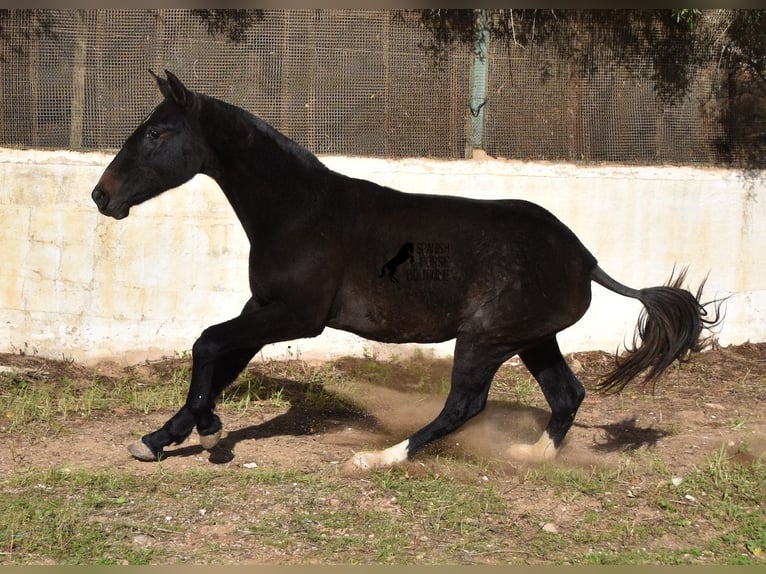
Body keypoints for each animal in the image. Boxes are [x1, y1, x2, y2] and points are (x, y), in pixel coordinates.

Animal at [93, 71, 724, 468]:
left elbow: (205, 345)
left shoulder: (296, 317)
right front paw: (158, 439)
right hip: (531, 339)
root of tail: (584, 258)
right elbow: (220, 362)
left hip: (486, 339)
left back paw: (376, 458)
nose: (102, 196)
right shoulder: (264, 309)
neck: (301, 212)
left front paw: (210, 435)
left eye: (157, 133)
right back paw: (531, 456)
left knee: (465, 407)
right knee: (567, 395)